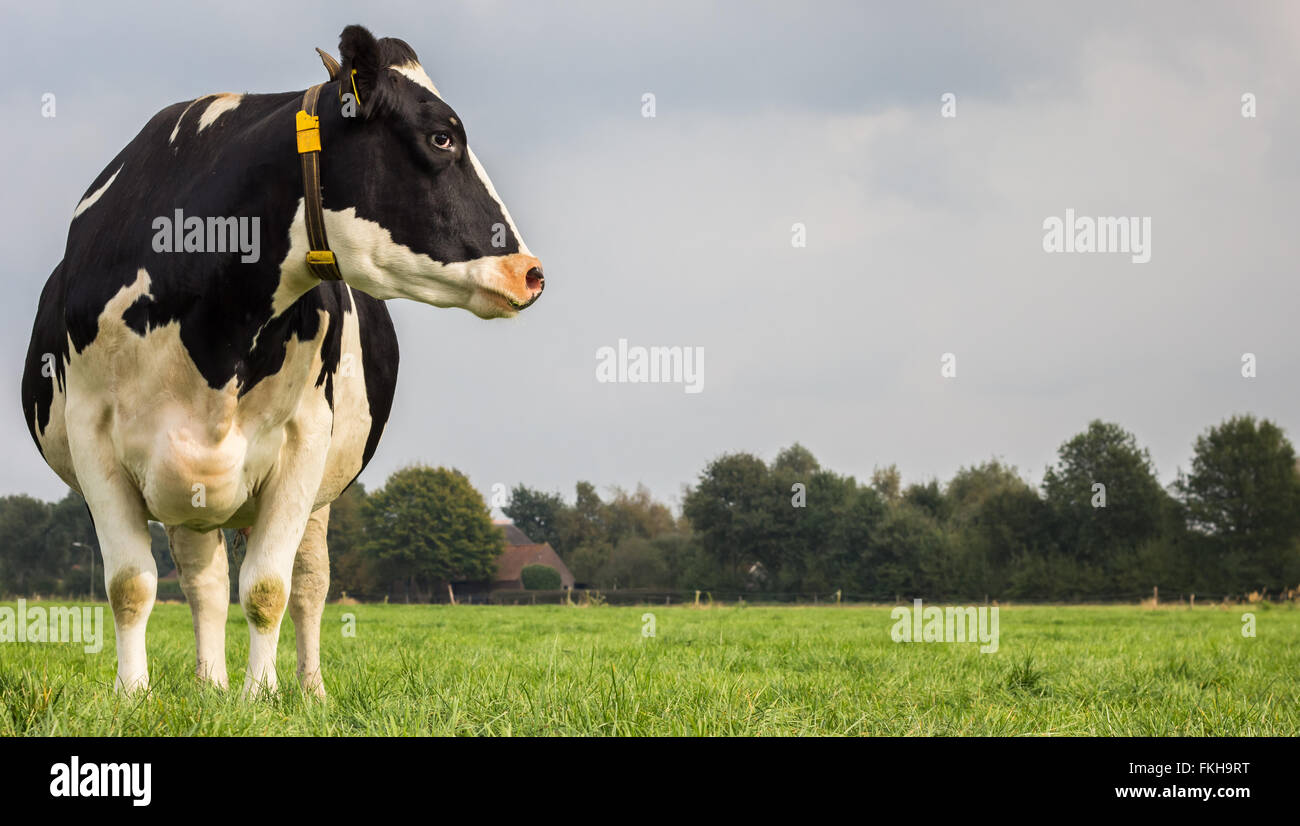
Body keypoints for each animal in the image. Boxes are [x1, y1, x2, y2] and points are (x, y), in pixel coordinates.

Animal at [20, 25, 544, 697]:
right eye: (441, 137)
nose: (530, 272)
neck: (211, 335)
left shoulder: (304, 440)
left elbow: (269, 587)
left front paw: (262, 695)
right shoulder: (93, 436)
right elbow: (132, 583)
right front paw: (134, 695)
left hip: (314, 496)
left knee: (308, 585)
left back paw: (306, 688)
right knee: (204, 582)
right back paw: (209, 684)